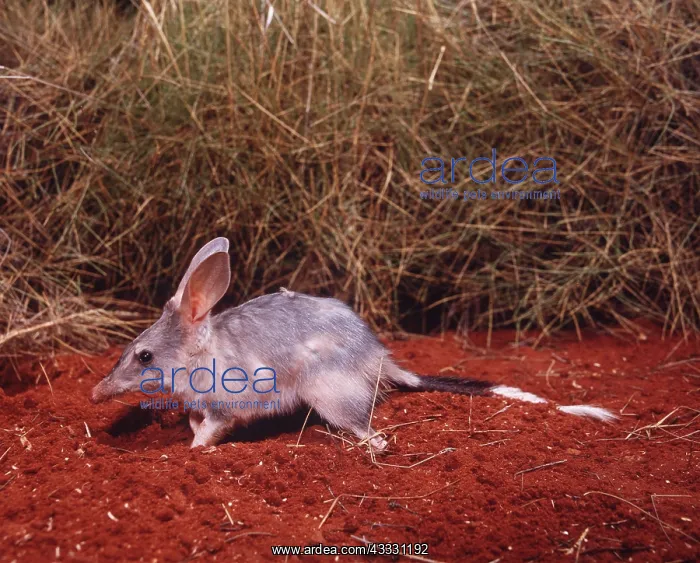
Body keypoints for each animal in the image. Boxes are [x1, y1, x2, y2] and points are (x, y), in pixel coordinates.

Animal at [90, 237, 617, 449]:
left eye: (144, 356)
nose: (94, 394)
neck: (201, 353)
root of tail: (380, 358)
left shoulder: (227, 406)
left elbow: (211, 430)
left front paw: (193, 453)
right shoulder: (199, 404)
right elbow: (195, 419)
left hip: (329, 395)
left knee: (370, 430)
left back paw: (373, 445)